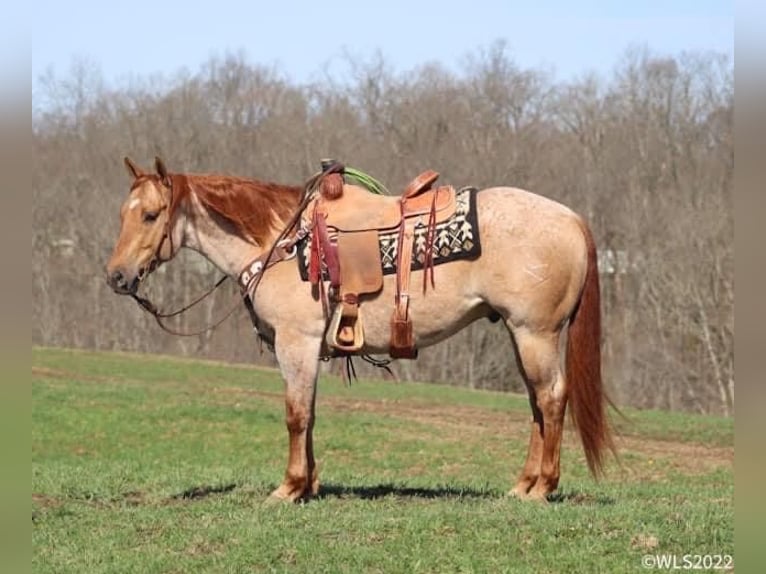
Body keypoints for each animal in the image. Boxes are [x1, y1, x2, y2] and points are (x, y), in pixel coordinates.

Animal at [106, 155, 616, 502]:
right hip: (520, 334)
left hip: (536, 333)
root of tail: (572, 219)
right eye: (123, 214)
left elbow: (296, 414)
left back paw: (543, 487)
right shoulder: (307, 349)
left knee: (551, 399)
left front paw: (288, 488)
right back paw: (523, 484)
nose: (117, 277)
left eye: (150, 215)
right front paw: (309, 485)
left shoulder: (296, 342)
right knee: (536, 404)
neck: (281, 244)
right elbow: (309, 413)